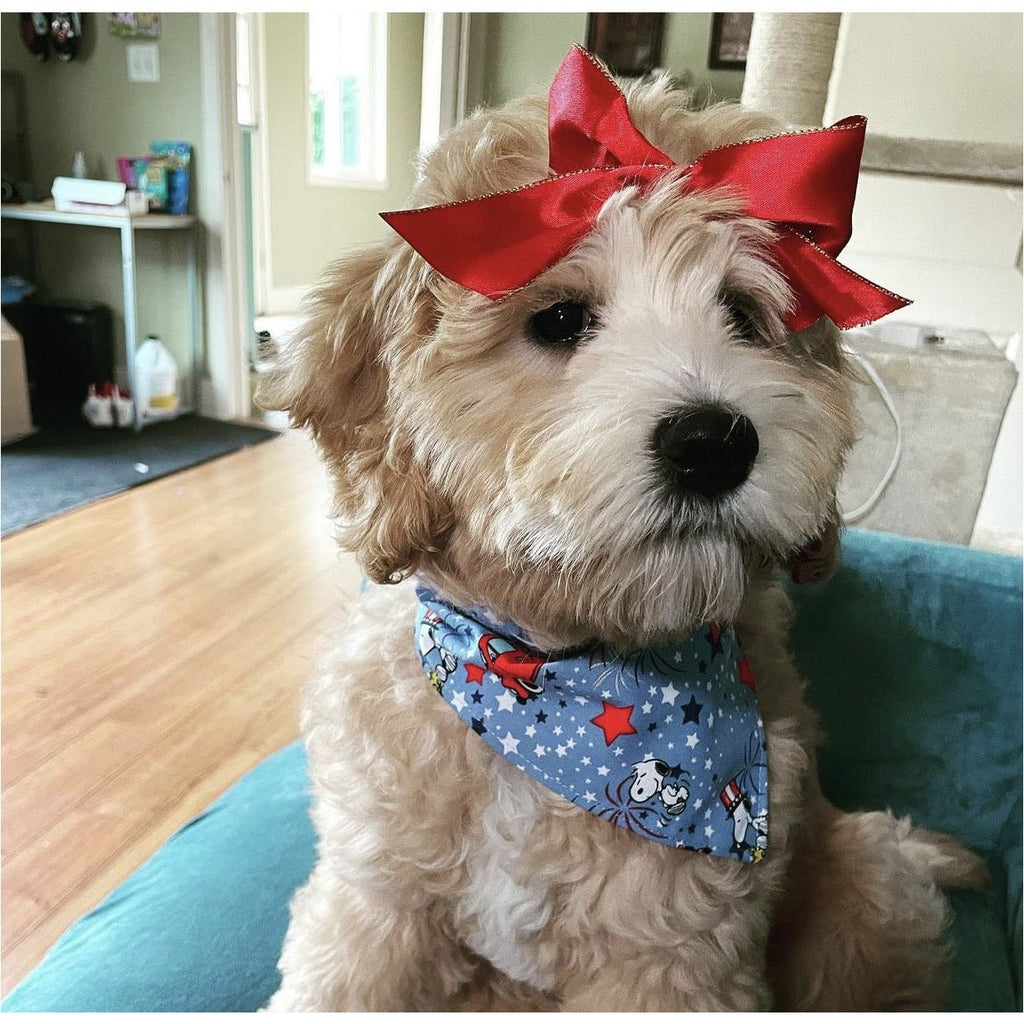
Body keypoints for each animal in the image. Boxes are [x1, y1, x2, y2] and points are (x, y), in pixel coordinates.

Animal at [260, 46, 987, 1007]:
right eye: (561, 319)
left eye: (742, 316)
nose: (714, 444)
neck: (556, 681)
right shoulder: (375, 903)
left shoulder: (675, 960)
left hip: (868, 889)